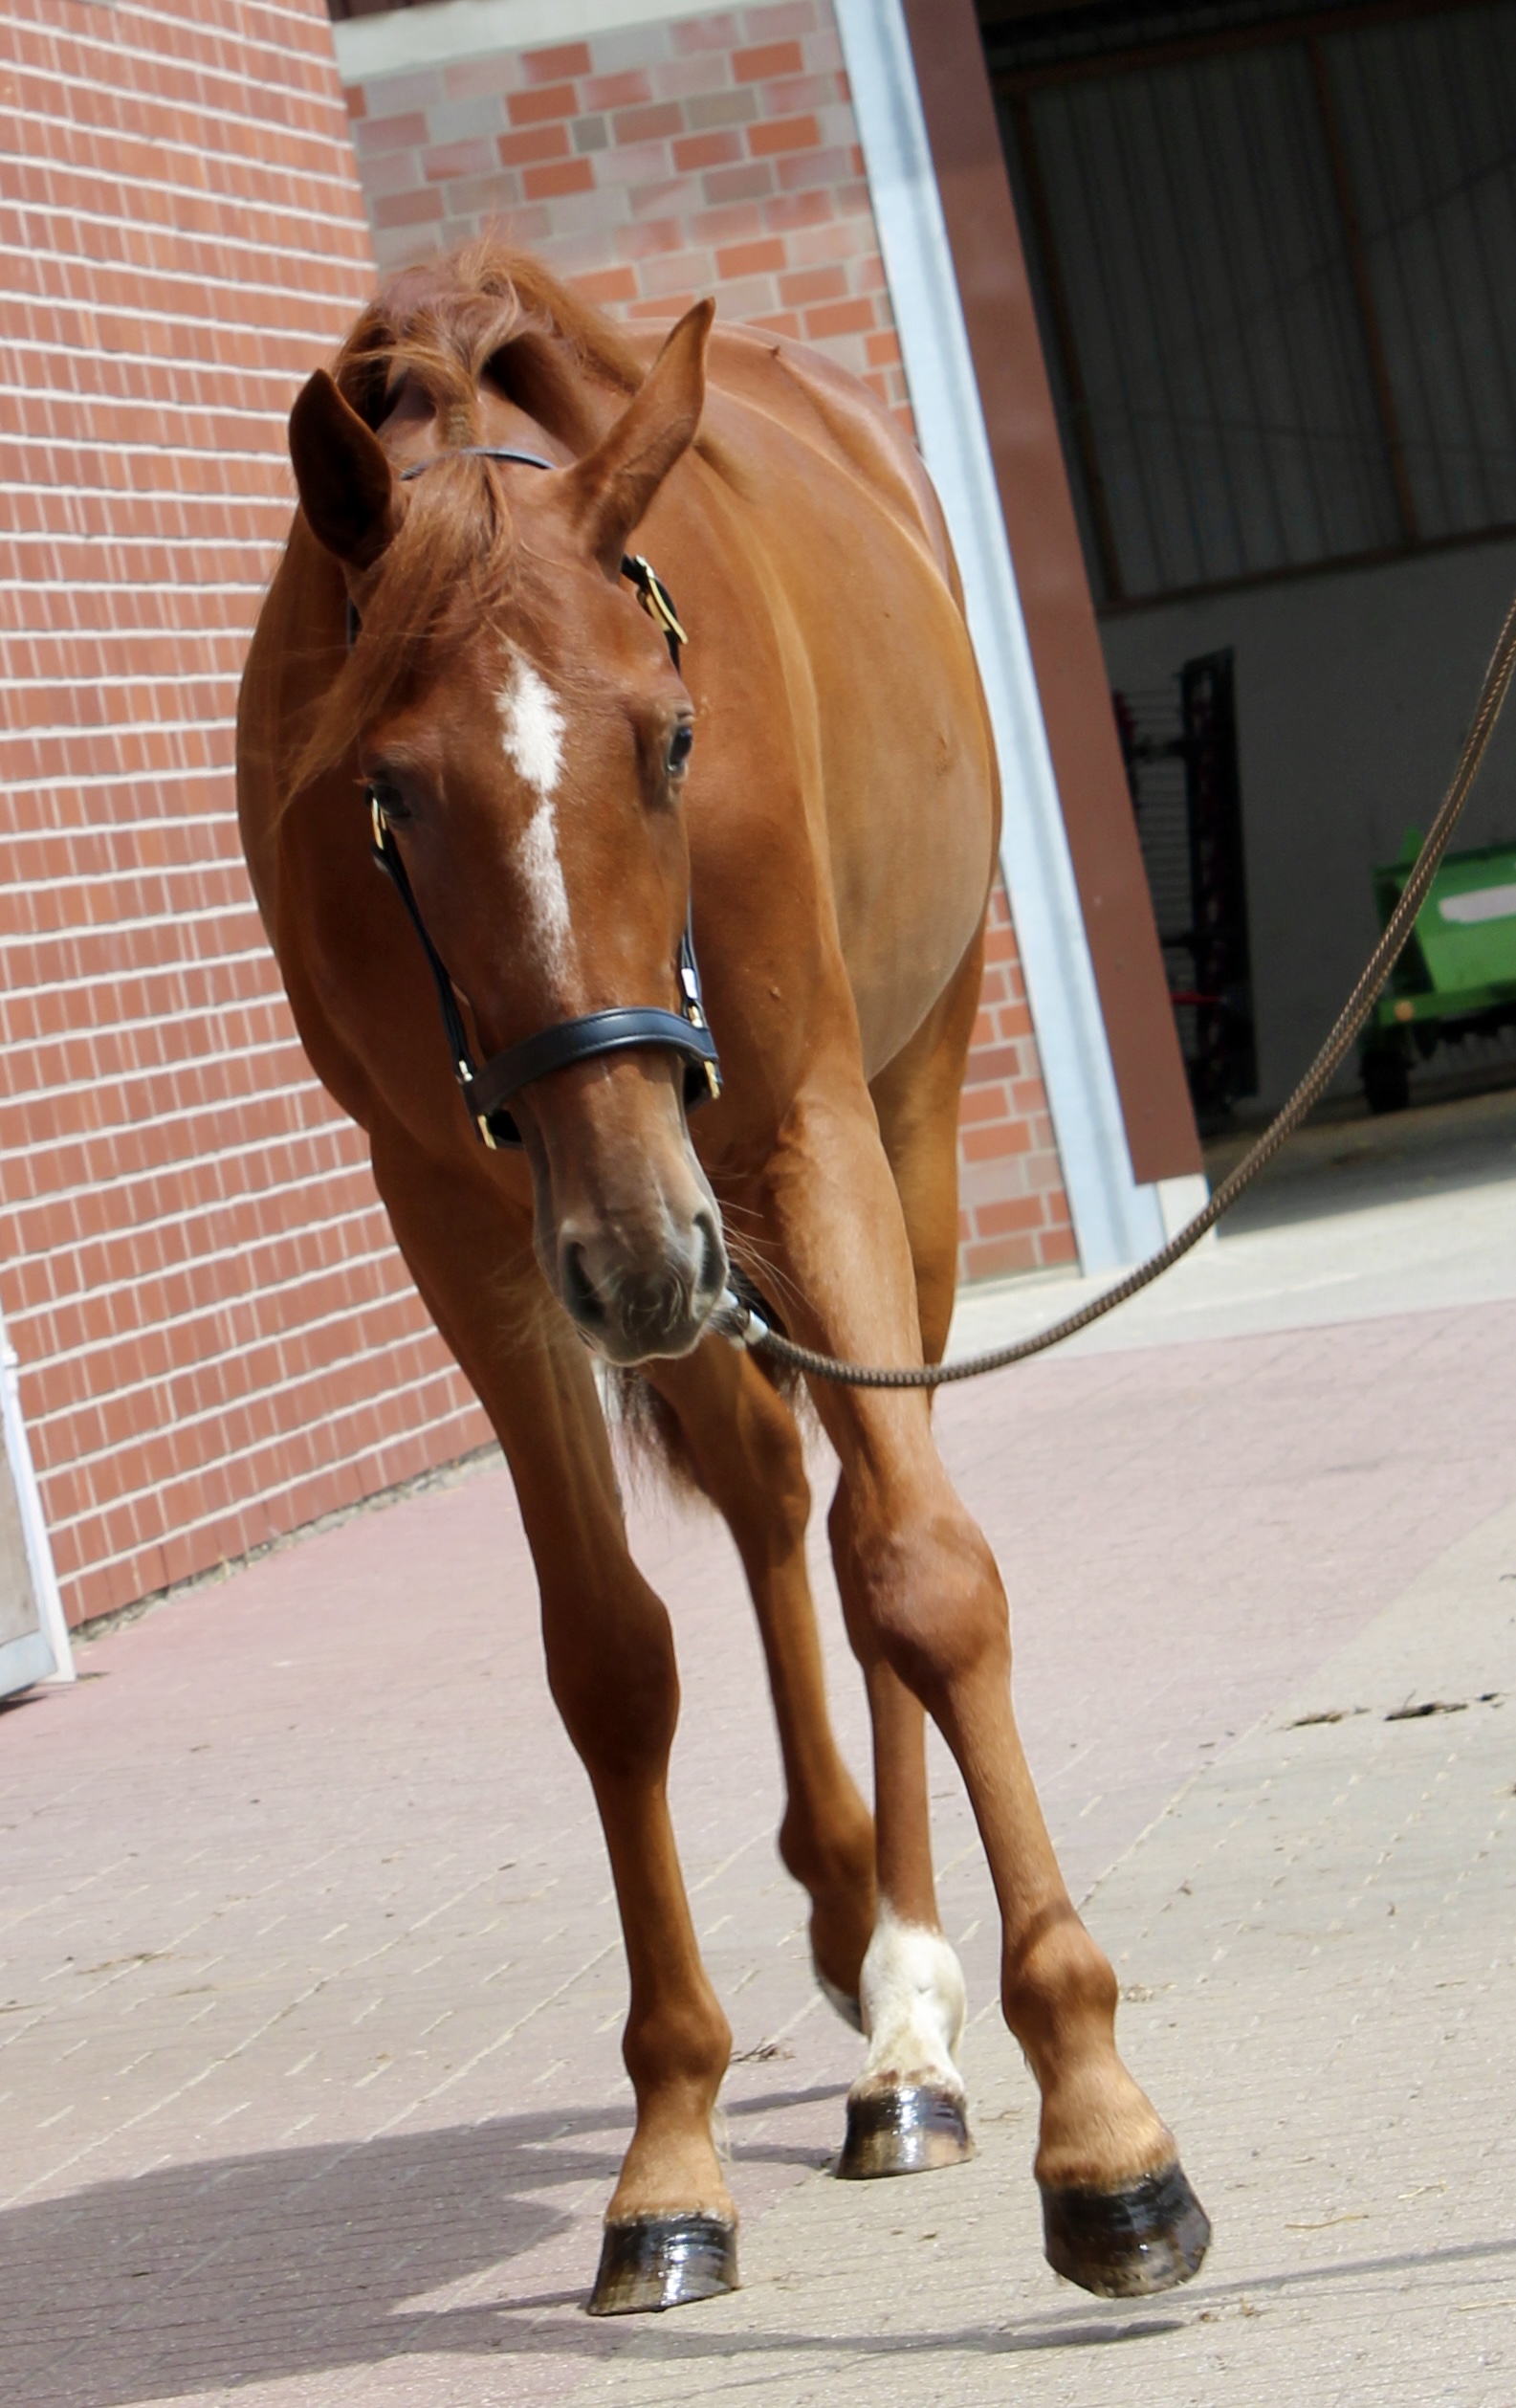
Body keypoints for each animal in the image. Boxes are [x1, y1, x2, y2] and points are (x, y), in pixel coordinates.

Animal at [236, 241, 1208, 2316]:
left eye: (668, 739)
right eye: (389, 791)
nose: (637, 1253)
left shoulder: (790, 1133)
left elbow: (921, 1572)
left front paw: (1102, 2127)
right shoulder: (479, 1223)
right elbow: (610, 1660)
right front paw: (668, 2144)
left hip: (883, 1133)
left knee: (851, 1518)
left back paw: (912, 2018)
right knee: (768, 1483)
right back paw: (851, 1925)